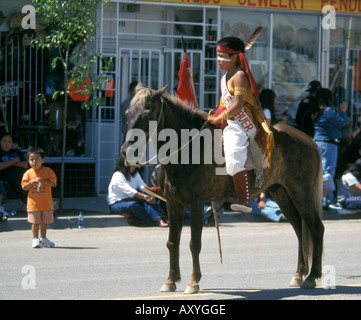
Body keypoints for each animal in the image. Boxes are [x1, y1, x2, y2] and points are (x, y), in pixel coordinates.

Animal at [122, 84, 324, 294]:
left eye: (146, 115)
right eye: (128, 113)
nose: (126, 151)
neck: (188, 149)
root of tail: (309, 140)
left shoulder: (196, 204)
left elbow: (194, 243)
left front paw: (193, 282)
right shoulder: (173, 204)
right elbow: (172, 242)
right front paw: (170, 280)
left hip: (302, 192)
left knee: (316, 227)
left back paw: (312, 277)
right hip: (282, 193)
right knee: (300, 229)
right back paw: (298, 275)